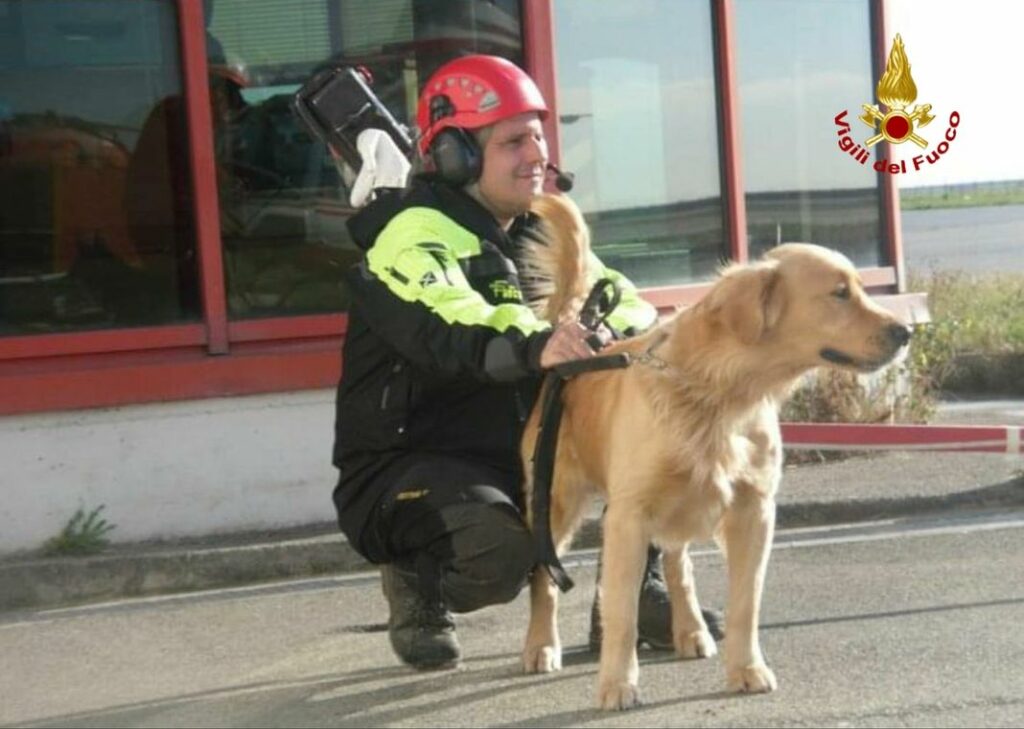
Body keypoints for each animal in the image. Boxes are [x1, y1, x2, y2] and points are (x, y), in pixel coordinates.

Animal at [520, 192, 913, 704]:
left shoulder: (754, 509)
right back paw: (541, 645)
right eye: (839, 293)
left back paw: (689, 631)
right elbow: (620, 611)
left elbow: (746, 602)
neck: (720, 391)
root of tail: (575, 346)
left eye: (859, 289)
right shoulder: (628, 514)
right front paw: (617, 683)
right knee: (543, 577)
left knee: (677, 564)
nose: (905, 332)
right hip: (556, 500)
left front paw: (746, 668)